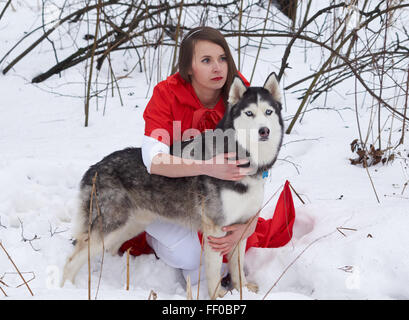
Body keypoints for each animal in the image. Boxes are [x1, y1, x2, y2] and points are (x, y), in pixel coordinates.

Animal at [61, 72, 284, 298]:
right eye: (249, 113)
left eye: (268, 111)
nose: (264, 131)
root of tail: (94, 169)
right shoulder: (215, 231)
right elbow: (213, 273)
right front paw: (218, 295)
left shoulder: (241, 227)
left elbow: (237, 268)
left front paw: (243, 290)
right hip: (110, 226)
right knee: (71, 262)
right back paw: (66, 288)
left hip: (131, 225)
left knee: (110, 249)